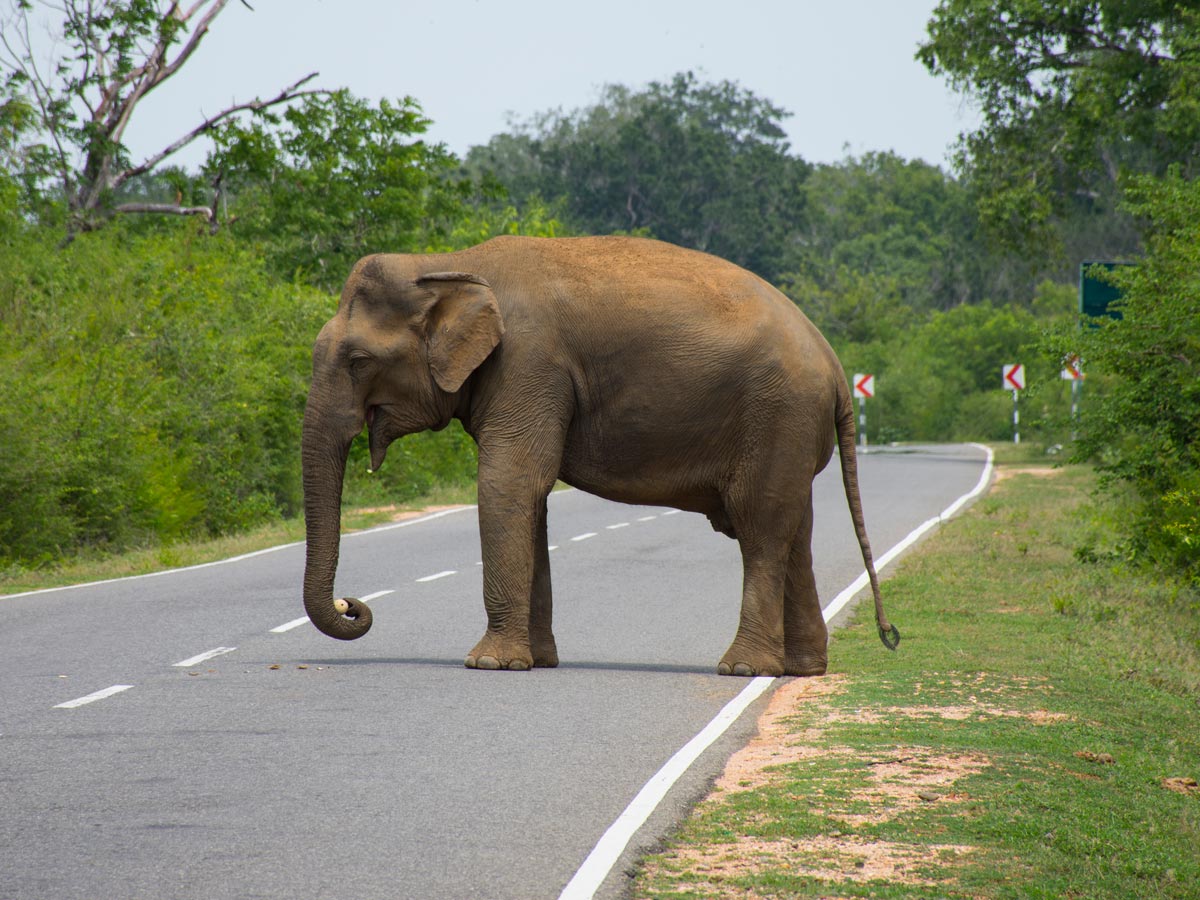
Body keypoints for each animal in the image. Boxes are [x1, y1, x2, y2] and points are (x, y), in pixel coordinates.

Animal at [302, 232, 902, 676]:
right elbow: (530, 497)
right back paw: (803, 670)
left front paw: (490, 664)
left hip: (778, 415)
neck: (446, 263)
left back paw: (743, 669)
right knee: (795, 528)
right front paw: (537, 663)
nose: (352, 604)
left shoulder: (529, 363)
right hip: (790, 429)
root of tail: (833, 365)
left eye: (357, 361)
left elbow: (508, 482)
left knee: (761, 527)